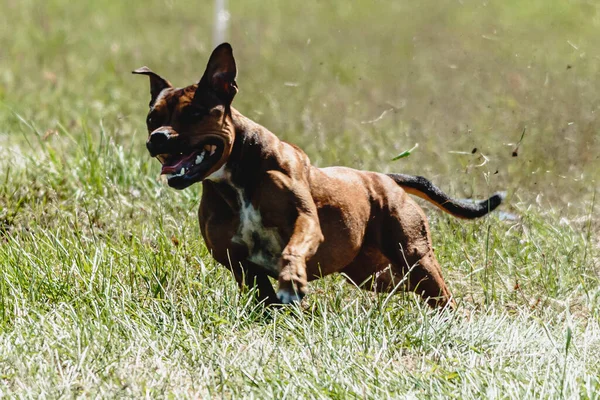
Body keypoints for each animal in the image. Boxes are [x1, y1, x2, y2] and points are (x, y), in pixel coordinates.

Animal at [134, 42, 504, 308]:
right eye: (152, 118)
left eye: (194, 113)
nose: (158, 138)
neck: (235, 178)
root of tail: (384, 178)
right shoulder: (239, 264)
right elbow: (264, 297)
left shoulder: (305, 221)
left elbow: (291, 251)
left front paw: (292, 281)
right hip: (374, 273)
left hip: (415, 256)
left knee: (441, 296)